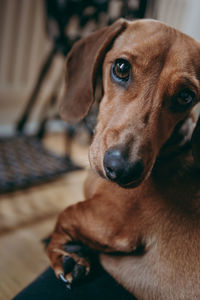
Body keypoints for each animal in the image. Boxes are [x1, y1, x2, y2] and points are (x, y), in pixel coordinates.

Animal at [47, 19, 200, 298]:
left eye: (186, 96)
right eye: (121, 68)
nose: (121, 169)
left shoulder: (112, 221)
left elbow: (66, 212)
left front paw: (65, 254)